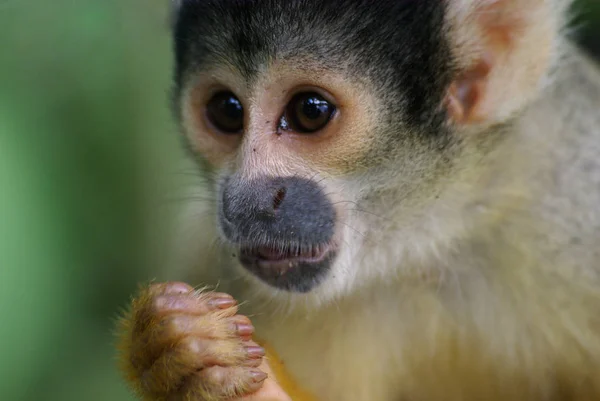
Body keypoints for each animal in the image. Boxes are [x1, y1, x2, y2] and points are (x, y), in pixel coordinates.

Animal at [116, 0, 600, 400]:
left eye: (310, 110)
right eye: (227, 110)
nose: (243, 203)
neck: (427, 240)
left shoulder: (575, 197)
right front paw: (179, 356)